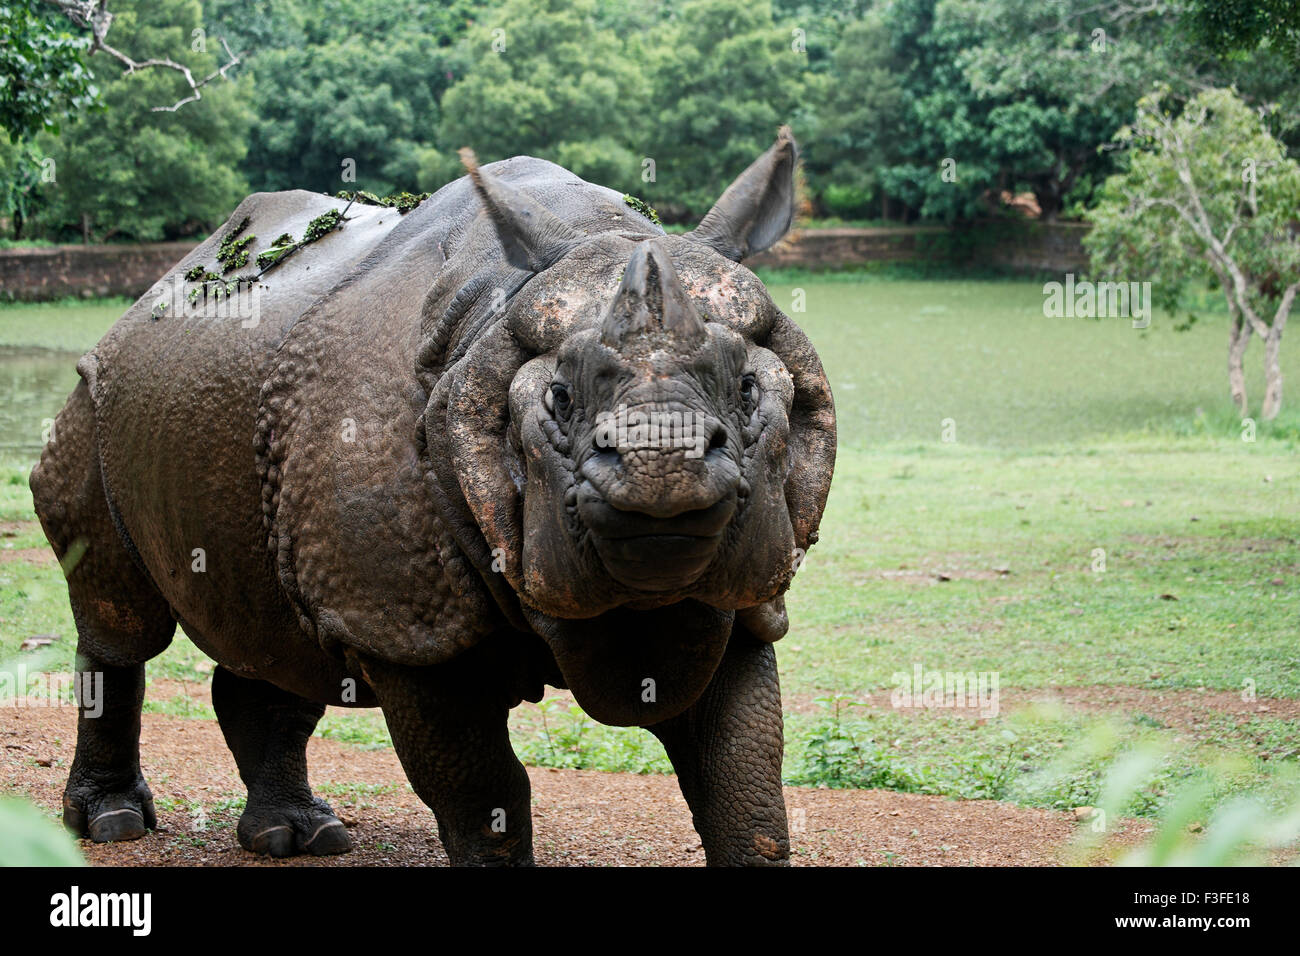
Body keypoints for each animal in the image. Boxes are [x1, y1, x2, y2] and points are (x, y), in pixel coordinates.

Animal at [30, 128, 835, 866]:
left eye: (748, 390)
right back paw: (111, 824)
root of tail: (155, 289)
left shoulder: (743, 594)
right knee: (122, 619)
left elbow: (745, 785)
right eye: (561, 399)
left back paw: (298, 838)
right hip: (95, 398)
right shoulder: (408, 626)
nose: (662, 468)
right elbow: (483, 792)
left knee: (280, 629)